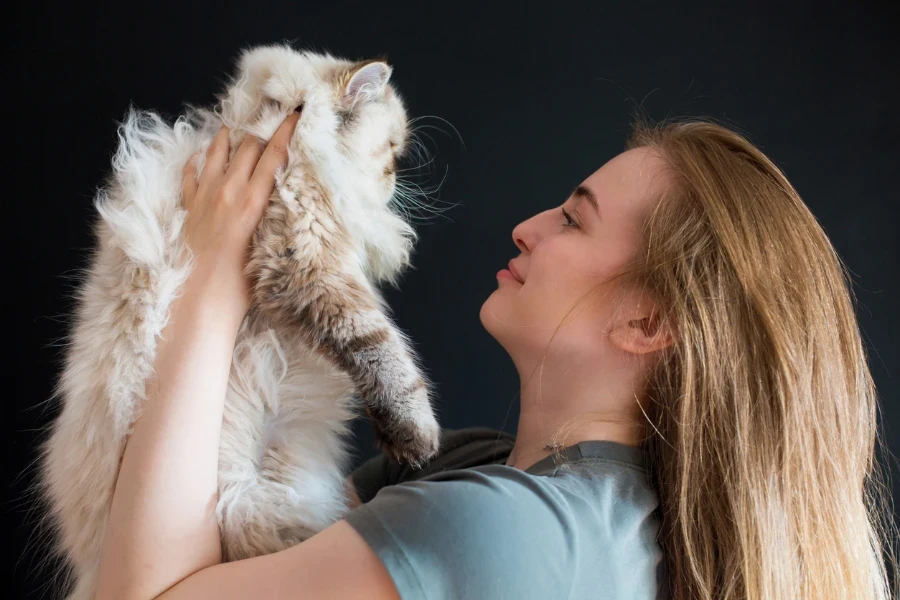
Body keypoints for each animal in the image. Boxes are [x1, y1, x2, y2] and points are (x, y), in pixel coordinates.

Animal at [40, 44, 442, 596]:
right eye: (393, 153)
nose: (392, 182)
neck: (272, 124)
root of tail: (91, 569)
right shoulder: (308, 262)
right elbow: (384, 355)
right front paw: (417, 438)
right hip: (250, 508)